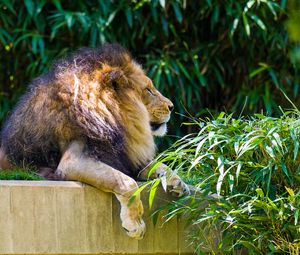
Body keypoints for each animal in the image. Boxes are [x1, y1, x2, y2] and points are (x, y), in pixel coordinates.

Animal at [0, 43, 188, 239]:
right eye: (149, 90)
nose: (172, 107)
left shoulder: (126, 157)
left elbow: (159, 165)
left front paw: (178, 182)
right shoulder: (72, 161)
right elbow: (127, 182)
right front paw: (134, 224)